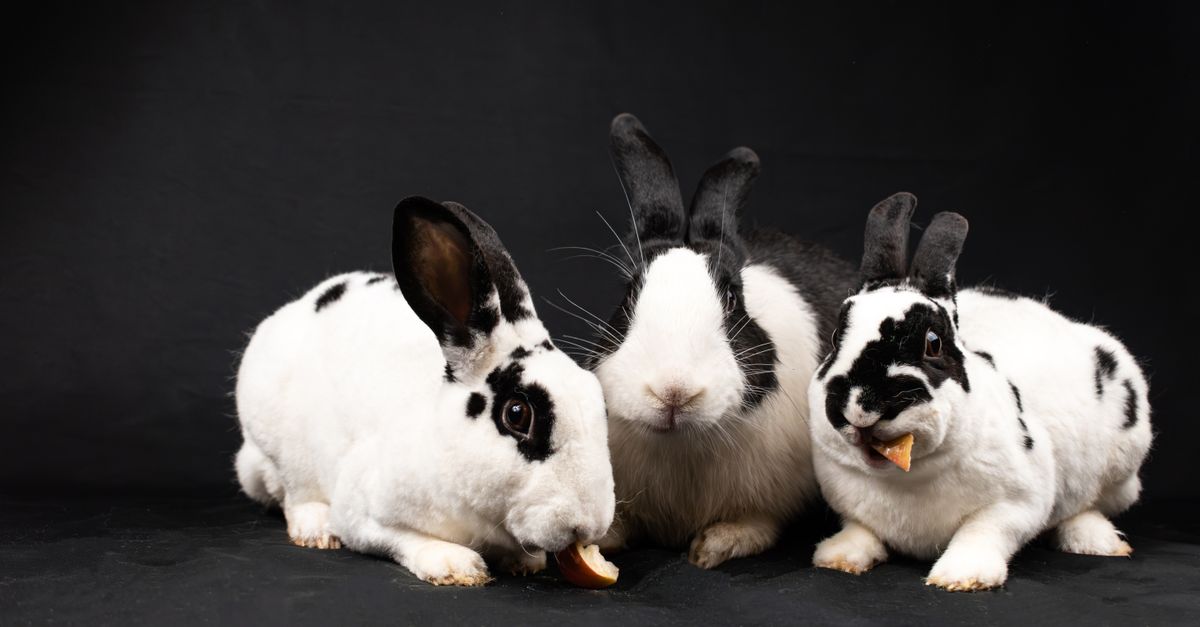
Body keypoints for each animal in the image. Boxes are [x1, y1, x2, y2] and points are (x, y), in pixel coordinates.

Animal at [234, 196, 615, 586]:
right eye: (517, 414)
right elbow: (403, 538)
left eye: (600, 402)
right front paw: (456, 566)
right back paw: (317, 530)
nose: (589, 525)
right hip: (280, 449)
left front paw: (525, 562)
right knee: (294, 493)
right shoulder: (362, 512)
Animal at [583, 113, 858, 568]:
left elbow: (757, 523)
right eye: (628, 294)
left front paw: (716, 546)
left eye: (732, 298)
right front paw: (602, 539)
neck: (681, 446)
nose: (673, 392)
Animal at [808, 192, 1153, 591]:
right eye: (837, 337)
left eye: (933, 343)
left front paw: (962, 576)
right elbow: (861, 530)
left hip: (1122, 462)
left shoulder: (1017, 503)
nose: (860, 408)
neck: (907, 476)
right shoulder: (850, 505)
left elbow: (983, 531)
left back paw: (1099, 542)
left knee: (1087, 506)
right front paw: (837, 557)